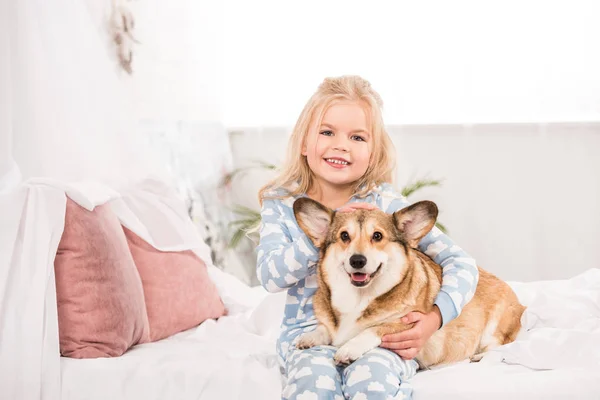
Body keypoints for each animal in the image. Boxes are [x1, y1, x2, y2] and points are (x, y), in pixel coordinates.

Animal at [292, 198, 524, 368]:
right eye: (344, 236)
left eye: (377, 236)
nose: (357, 260)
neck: (359, 298)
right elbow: (324, 329)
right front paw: (309, 337)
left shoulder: (407, 324)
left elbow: (376, 329)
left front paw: (349, 348)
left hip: (494, 329)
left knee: (501, 347)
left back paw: (480, 357)